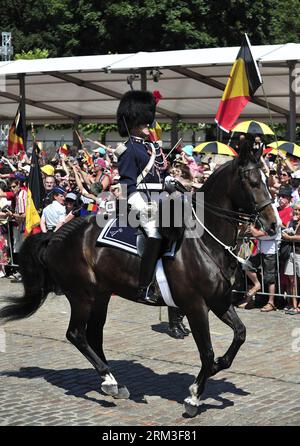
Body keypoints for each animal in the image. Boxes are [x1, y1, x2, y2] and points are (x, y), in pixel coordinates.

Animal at [0, 143, 276, 414]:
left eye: (265, 180)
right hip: (81, 296)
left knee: (94, 336)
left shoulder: (219, 301)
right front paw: (194, 397)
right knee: (76, 334)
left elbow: (240, 334)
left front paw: (218, 367)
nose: (274, 225)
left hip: (100, 296)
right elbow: (207, 353)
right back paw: (110, 382)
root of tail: (56, 236)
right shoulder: (196, 306)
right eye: (253, 182)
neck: (204, 242)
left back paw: (113, 381)